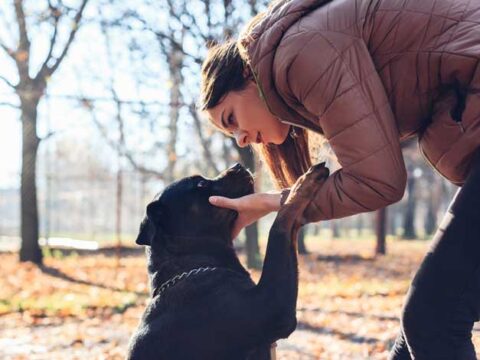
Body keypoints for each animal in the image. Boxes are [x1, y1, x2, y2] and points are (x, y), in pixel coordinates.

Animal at [127, 163, 330, 360]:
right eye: (201, 184)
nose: (238, 164)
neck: (191, 263)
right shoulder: (272, 306)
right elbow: (280, 223)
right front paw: (302, 184)